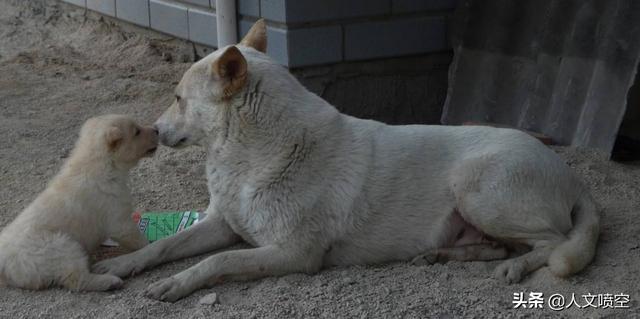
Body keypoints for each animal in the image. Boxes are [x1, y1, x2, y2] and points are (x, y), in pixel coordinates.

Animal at [0, 115, 158, 292]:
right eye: (137, 132)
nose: (156, 130)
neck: (99, 164)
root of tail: (4, 265)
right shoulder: (117, 217)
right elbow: (135, 237)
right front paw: (149, 244)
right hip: (60, 247)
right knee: (76, 279)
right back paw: (109, 281)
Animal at [94, 20, 600, 302]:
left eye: (179, 99)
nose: (154, 131)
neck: (250, 155)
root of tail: (572, 177)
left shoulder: (293, 254)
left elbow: (217, 261)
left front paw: (177, 283)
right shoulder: (223, 223)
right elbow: (162, 247)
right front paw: (123, 265)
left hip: (474, 185)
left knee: (553, 242)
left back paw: (518, 267)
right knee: (501, 245)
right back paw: (441, 254)